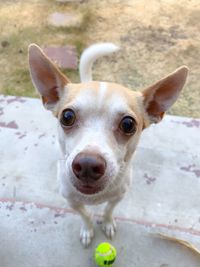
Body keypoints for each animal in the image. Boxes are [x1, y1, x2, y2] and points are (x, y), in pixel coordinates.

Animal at [27, 42, 188, 249]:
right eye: (67, 116)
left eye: (128, 124)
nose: (87, 165)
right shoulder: (71, 201)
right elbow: (86, 214)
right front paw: (88, 230)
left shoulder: (118, 196)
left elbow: (108, 210)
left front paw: (108, 223)